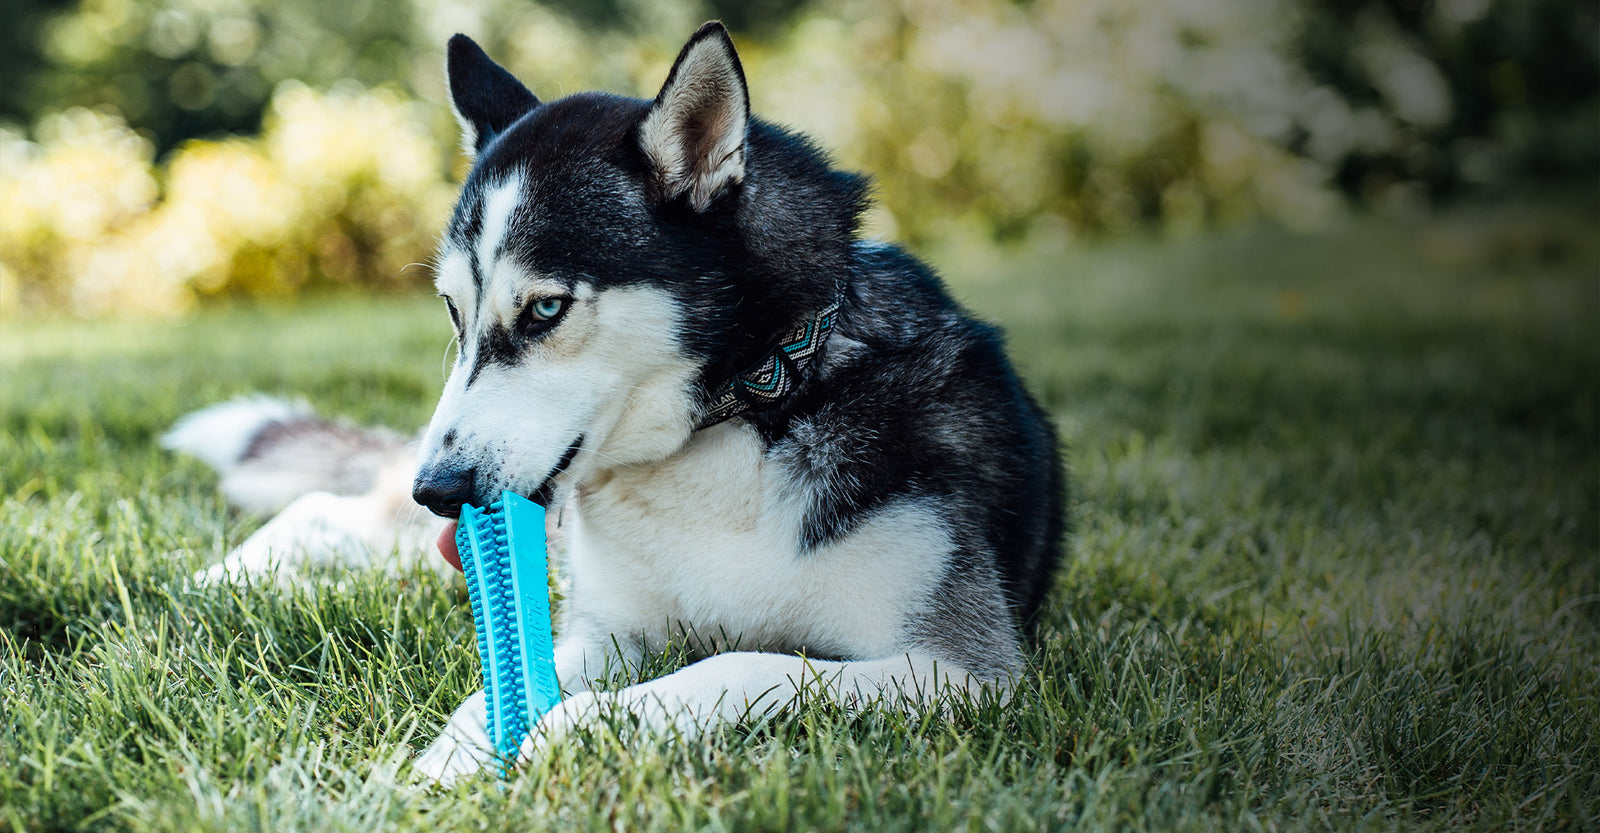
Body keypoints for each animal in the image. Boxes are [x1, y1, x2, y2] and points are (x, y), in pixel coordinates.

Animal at [165, 22, 1062, 783]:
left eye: (544, 308)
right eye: (454, 310)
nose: (439, 489)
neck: (743, 414)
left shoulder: (959, 668)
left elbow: (738, 665)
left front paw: (571, 726)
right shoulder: (609, 627)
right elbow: (498, 688)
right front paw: (448, 760)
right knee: (331, 507)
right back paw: (220, 578)